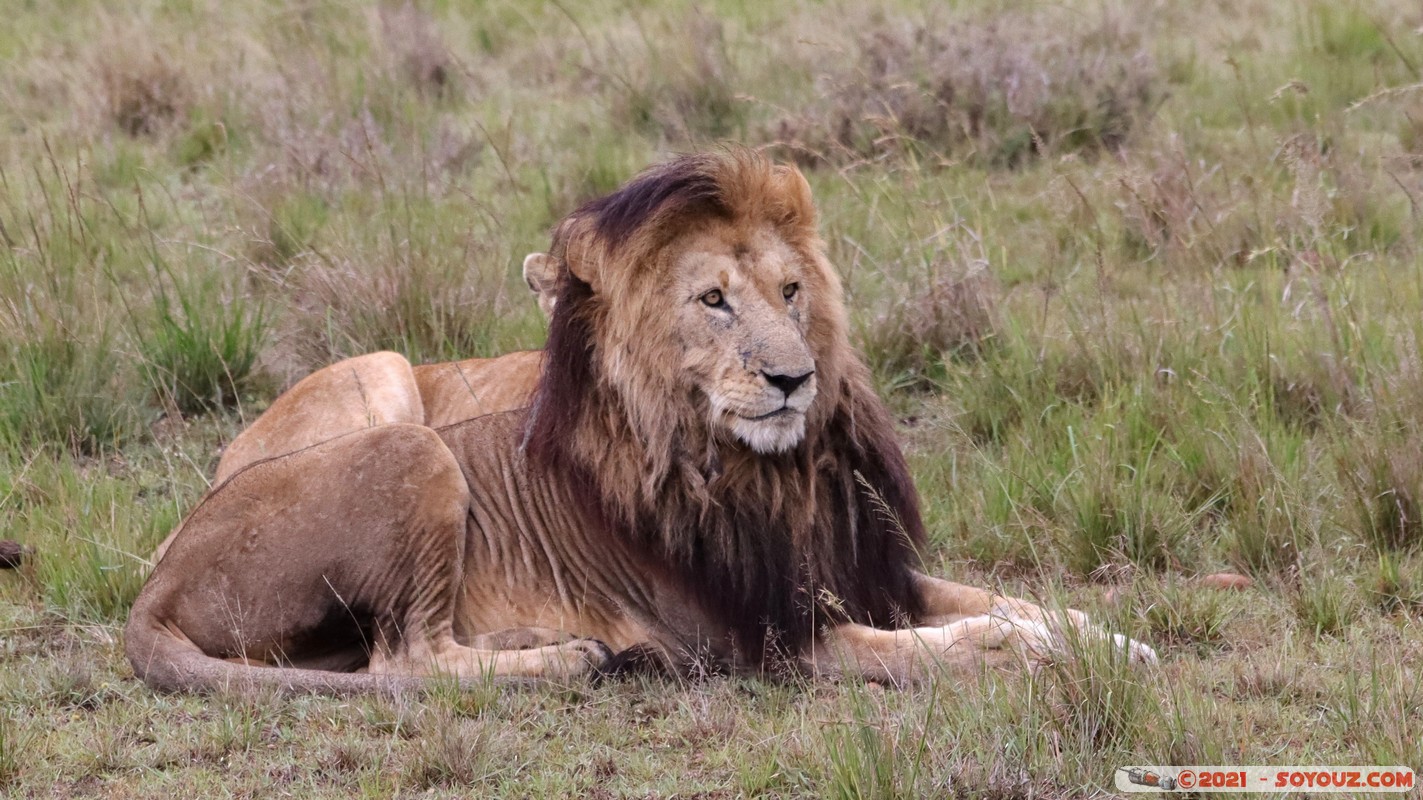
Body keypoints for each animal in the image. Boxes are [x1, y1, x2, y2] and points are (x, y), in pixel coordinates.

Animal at [125, 150, 1155, 691]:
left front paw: (1114, 638)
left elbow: (1015, 601)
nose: (792, 378)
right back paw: (567, 656)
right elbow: (980, 637)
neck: (770, 476)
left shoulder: (865, 573)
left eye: (790, 291)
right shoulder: (779, 642)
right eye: (713, 301)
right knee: (401, 662)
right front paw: (1051, 651)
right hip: (407, 438)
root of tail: (154, 584)